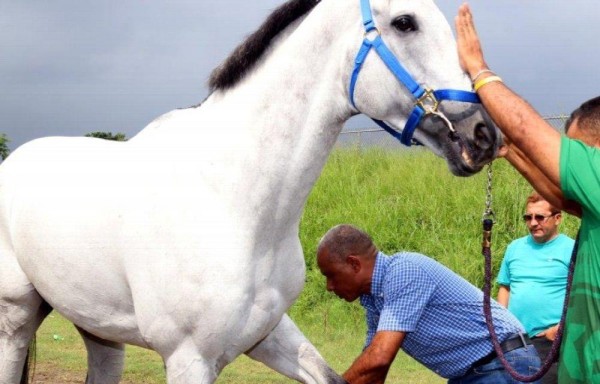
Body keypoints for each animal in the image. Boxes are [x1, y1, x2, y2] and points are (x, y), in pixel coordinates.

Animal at [0, 0, 496, 382]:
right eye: (405, 22)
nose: (484, 136)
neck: (232, 200)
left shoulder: (268, 334)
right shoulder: (189, 359)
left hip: (99, 329)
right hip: (16, 318)